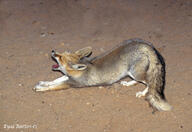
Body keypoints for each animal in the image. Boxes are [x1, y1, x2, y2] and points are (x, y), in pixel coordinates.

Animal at [34, 38, 172, 111]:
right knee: (140, 81)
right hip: (132, 73)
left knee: (148, 82)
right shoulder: (68, 78)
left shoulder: (71, 83)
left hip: (135, 73)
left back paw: (142, 93)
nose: (53, 51)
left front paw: (41, 88)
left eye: (61, 57)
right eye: (60, 53)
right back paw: (128, 83)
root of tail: (146, 44)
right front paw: (43, 83)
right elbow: (54, 81)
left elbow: (54, 86)